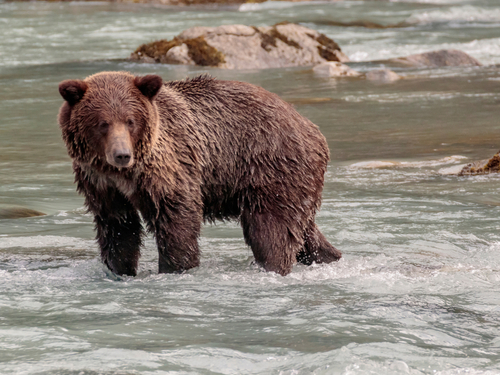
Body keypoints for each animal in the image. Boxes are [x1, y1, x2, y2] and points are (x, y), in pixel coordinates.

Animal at [57, 71, 340, 276]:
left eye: (130, 121)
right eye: (102, 123)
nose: (122, 155)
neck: (125, 174)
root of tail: (312, 129)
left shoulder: (169, 168)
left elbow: (177, 218)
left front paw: (175, 268)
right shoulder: (100, 184)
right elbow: (118, 227)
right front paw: (119, 270)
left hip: (270, 167)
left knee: (271, 230)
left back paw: (272, 266)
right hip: (294, 181)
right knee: (304, 231)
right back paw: (330, 256)